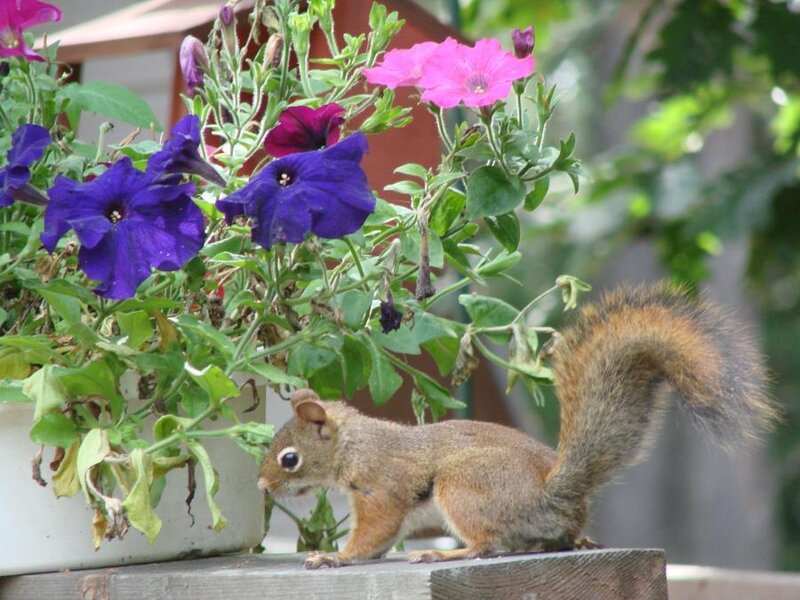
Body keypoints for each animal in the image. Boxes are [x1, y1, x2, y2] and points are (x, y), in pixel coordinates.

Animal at [257, 283, 778, 569]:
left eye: (290, 458)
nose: (262, 486)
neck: (354, 444)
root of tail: (552, 495)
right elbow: (379, 543)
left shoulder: (381, 489)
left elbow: (373, 533)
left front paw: (336, 557)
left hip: (464, 485)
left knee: (488, 545)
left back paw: (445, 554)